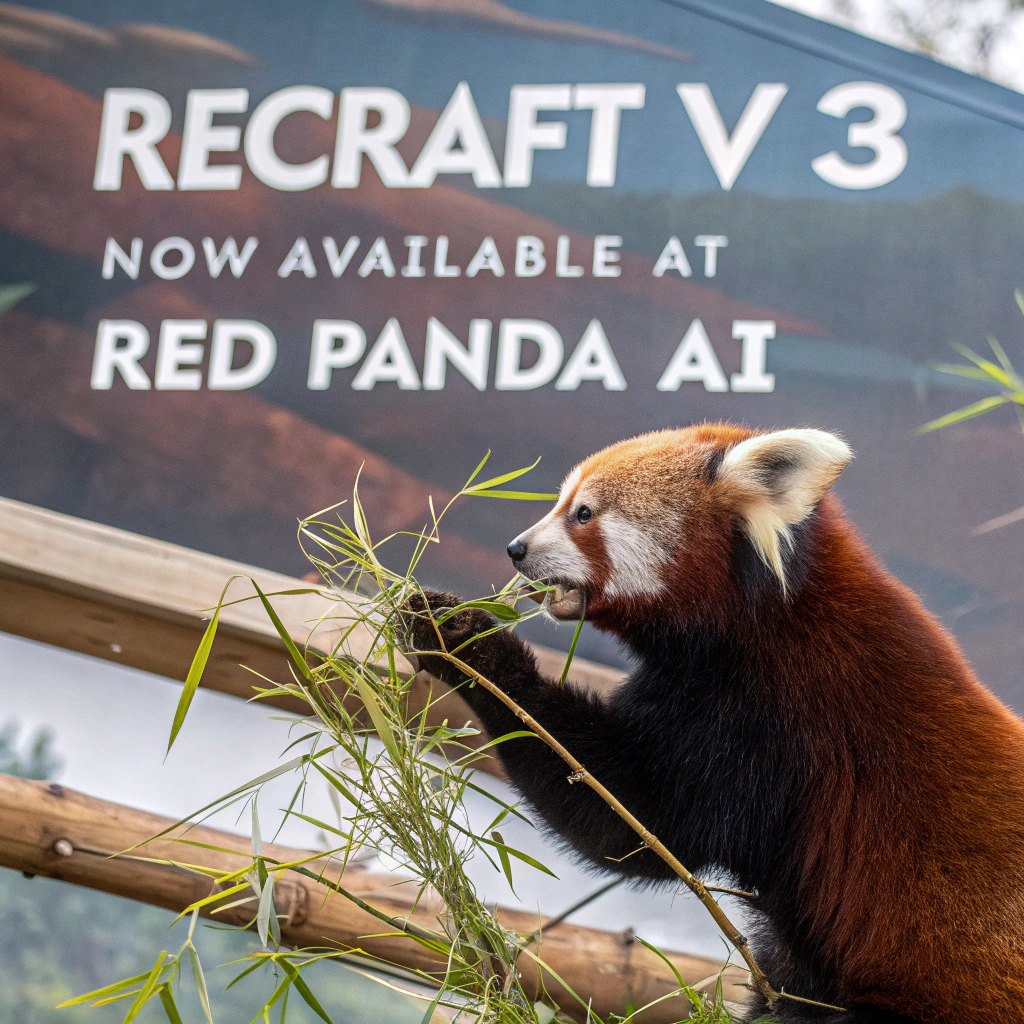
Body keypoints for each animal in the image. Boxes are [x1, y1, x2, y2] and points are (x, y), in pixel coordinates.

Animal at [403, 423, 1024, 1023]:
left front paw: (472, 647)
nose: (516, 549)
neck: (762, 618)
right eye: (561, 502)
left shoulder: (769, 724)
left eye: (583, 514)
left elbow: (635, 822)